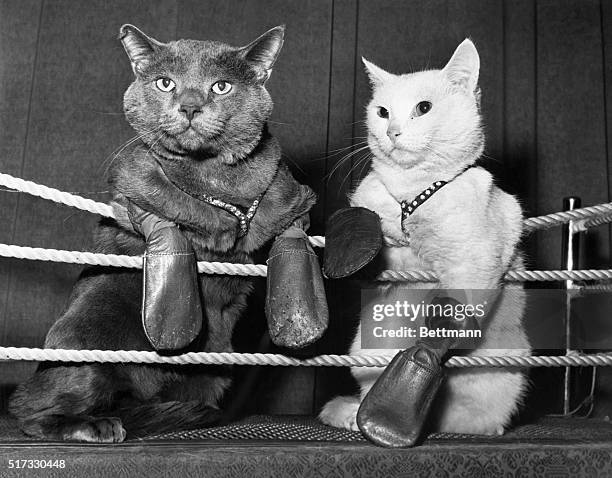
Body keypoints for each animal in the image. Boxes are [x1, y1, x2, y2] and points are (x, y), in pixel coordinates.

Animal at [320, 39, 532, 436]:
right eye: (382, 112)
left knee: (470, 418)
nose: (392, 131)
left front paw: (408, 387)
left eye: (423, 108)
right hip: (366, 348)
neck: (412, 191)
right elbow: (366, 217)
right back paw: (355, 413)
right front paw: (357, 242)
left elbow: (450, 316)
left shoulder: (475, 259)